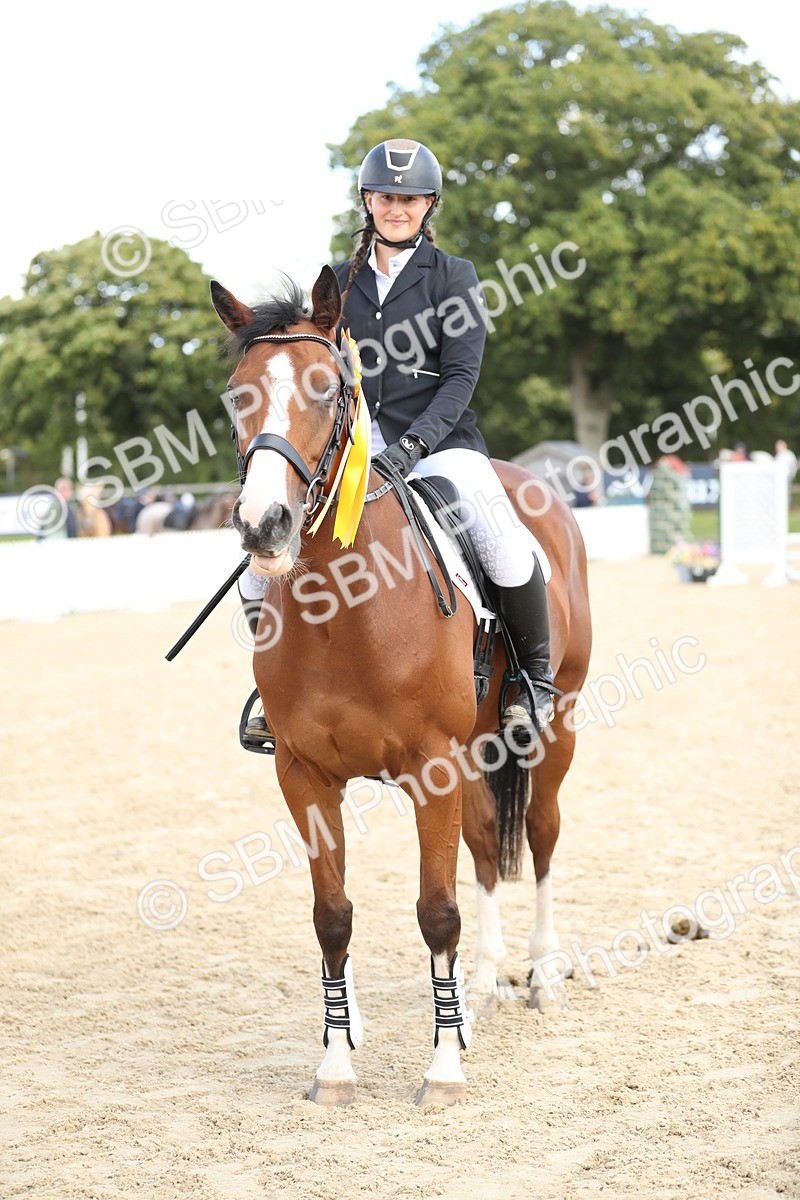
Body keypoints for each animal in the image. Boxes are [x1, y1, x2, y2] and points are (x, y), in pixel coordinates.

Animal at [210, 266, 592, 1107]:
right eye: (234, 394)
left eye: (327, 388)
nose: (264, 525)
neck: (341, 610)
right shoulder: (304, 774)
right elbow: (332, 916)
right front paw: (335, 1062)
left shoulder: (431, 767)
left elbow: (436, 911)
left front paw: (443, 1070)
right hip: (478, 750)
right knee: (486, 845)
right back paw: (480, 991)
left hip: (554, 729)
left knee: (542, 835)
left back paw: (542, 979)